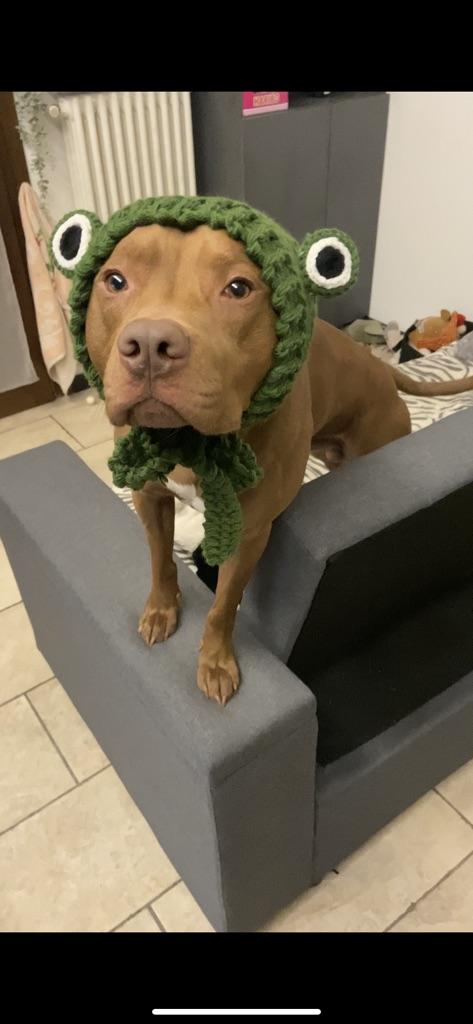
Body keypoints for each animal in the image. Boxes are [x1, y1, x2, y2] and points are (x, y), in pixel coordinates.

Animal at [84, 222, 473, 705]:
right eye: (115, 280)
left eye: (238, 288)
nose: (152, 344)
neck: (191, 442)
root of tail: (382, 369)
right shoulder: (149, 498)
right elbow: (159, 558)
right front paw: (161, 608)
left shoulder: (250, 532)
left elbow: (224, 605)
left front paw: (216, 662)